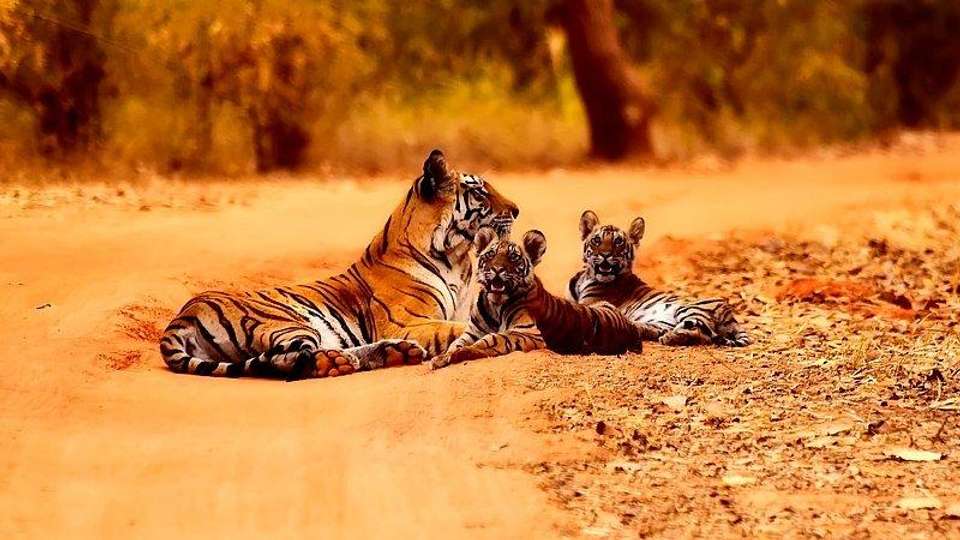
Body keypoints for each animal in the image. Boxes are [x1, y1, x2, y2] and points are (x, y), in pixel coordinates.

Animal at [160, 149, 519, 379]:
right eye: (481, 193)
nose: (516, 210)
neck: (457, 258)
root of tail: (183, 315)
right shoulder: (408, 322)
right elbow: (457, 329)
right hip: (288, 321)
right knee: (286, 360)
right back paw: (340, 362)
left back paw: (393, 354)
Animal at [429, 227, 643, 369]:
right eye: (490, 255)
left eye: (513, 258)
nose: (497, 269)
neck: (495, 303)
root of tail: (629, 325)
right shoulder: (472, 331)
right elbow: (456, 343)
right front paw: (443, 357)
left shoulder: (528, 332)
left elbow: (492, 338)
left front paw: (459, 354)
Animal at [568, 210, 751, 347]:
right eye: (596, 240)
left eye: (618, 242)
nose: (605, 254)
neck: (586, 276)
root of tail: (731, 315)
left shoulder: (589, 304)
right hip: (661, 322)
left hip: (688, 309)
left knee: (702, 333)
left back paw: (669, 337)